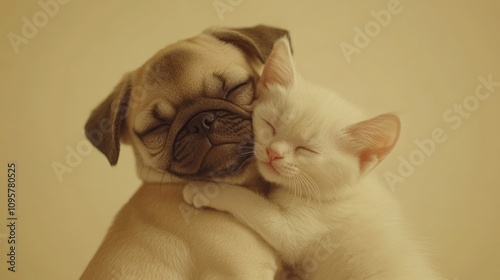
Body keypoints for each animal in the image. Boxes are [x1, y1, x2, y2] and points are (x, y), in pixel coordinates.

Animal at [184, 37, 442, 280]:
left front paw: (204, 189)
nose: (274, 152)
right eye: (271, 125)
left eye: (306, 150)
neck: (339, 194)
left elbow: (252, 204)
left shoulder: (302, 227)